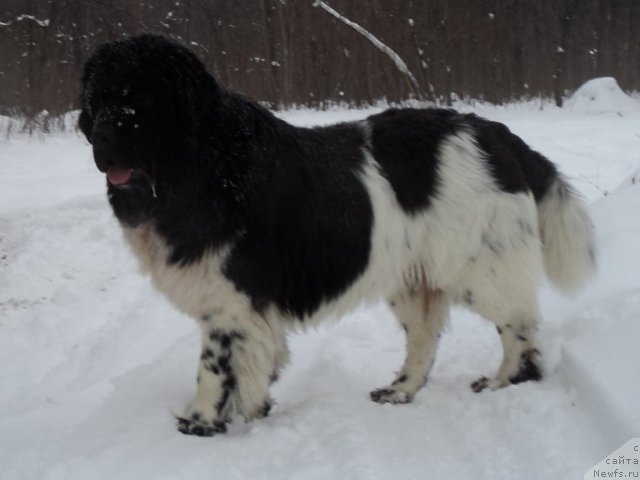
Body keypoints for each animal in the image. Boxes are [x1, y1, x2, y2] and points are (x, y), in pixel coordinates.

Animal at [79, 33, 596, 436]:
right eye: (97, 99)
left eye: (143, 97)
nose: (101, 138)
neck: (201, 163)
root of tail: (496, 134)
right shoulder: (246, 306)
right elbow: (255, 360)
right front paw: (254, 408)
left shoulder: (230, 300)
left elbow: (214, 364)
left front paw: (201, 421)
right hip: (414, 277)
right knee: (424, 339)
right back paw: (399, 391)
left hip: (481, 266)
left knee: (519, 329)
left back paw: (503, 381)